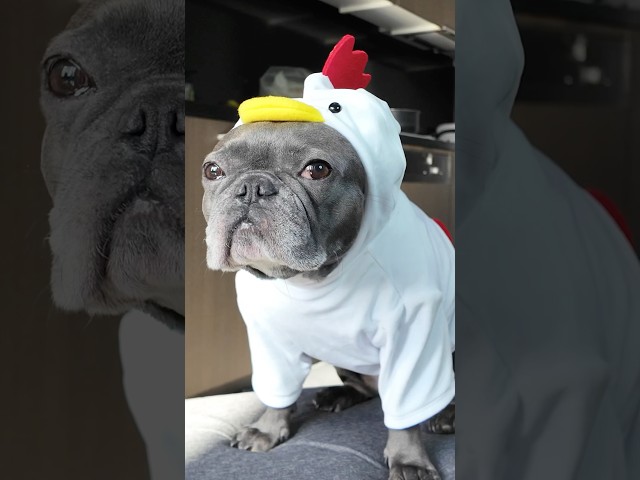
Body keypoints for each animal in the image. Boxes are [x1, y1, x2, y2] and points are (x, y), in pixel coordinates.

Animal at [202, 36, 455, 480]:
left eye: (317, 170)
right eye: (212, 171)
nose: (251, 187)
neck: (310, 278)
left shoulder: (415, 334)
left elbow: (405, 412)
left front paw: (408, 459)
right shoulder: (269, 342)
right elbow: (277, 393)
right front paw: (268, 428)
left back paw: (444, 416)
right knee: (367, 390)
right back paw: (337, 396)